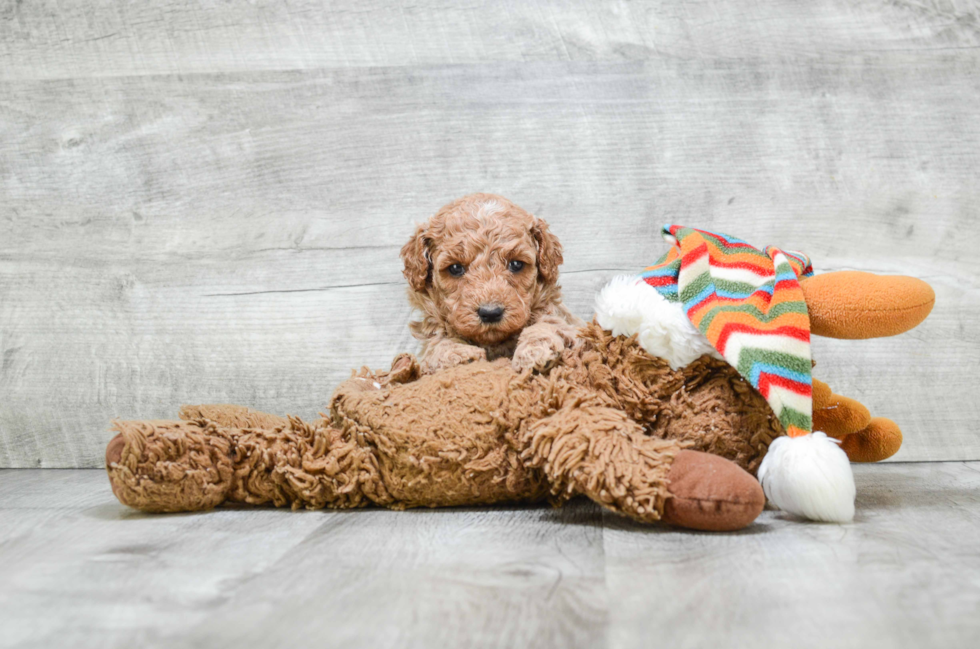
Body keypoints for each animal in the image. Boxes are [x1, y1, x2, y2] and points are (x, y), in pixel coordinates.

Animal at [398, 192, 580, 374]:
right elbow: (438, 342)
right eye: (455, 268)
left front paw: (533, 350)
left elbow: (548, 324)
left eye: (516, 264)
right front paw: (458, 353)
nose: (491, 313)